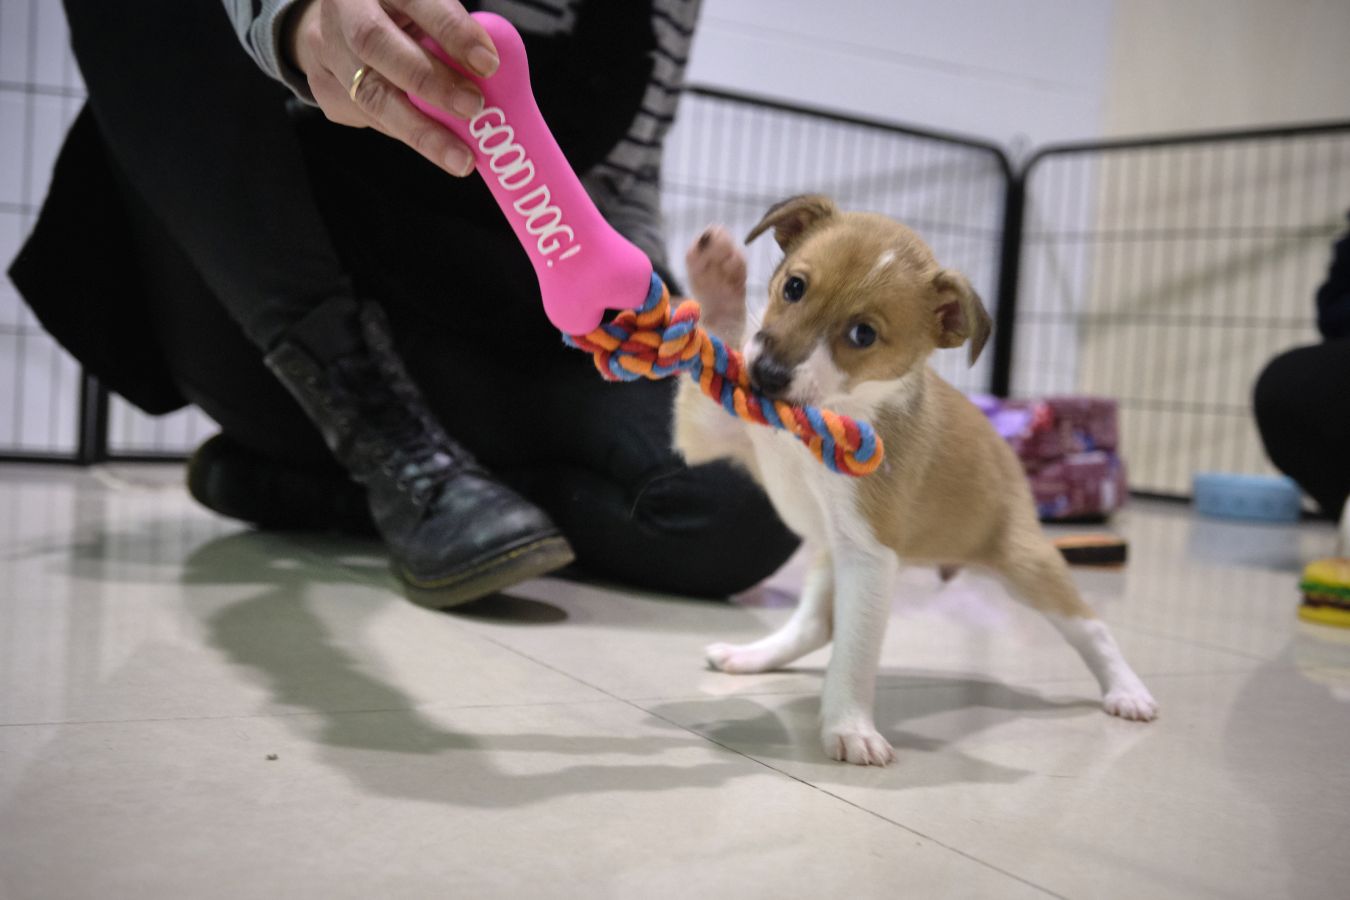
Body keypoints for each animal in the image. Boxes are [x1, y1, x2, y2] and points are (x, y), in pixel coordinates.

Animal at [675, 197, 1161, 766]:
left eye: (863, 334)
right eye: (794, 287)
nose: (768, 376)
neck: (833, 412)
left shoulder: (870, 557)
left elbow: (855, 654)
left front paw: (850, 727)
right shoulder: (718, 431)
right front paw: (718, 279)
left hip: (1025, 564)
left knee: (1091, 625)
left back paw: (1127, 691)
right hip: (831, 552)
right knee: (816, 625)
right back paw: (752, 656)